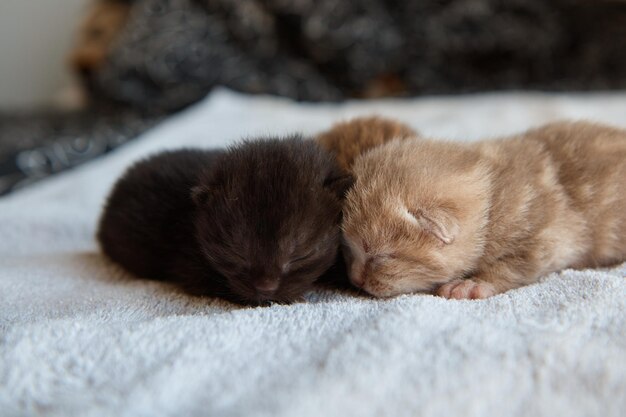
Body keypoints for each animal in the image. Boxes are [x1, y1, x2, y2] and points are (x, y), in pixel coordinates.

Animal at [342, 120, 624, 300]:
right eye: (348, 249)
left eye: (381, 257)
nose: (354, 280)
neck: (491, 195)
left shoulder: (550, 234)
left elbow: (514, 265)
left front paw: (472, 283)